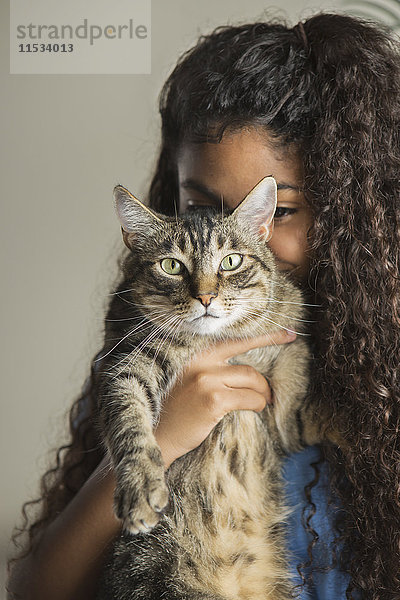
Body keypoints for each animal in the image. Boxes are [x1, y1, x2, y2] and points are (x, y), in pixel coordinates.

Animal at [95, 178, 326, 600]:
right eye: (171, 266)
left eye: (231, 261)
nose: (205, 297)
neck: (222, 340)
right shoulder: (125, 365)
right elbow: (129, 421)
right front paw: (140, 486)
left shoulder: (285, 418)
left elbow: (308, 398)